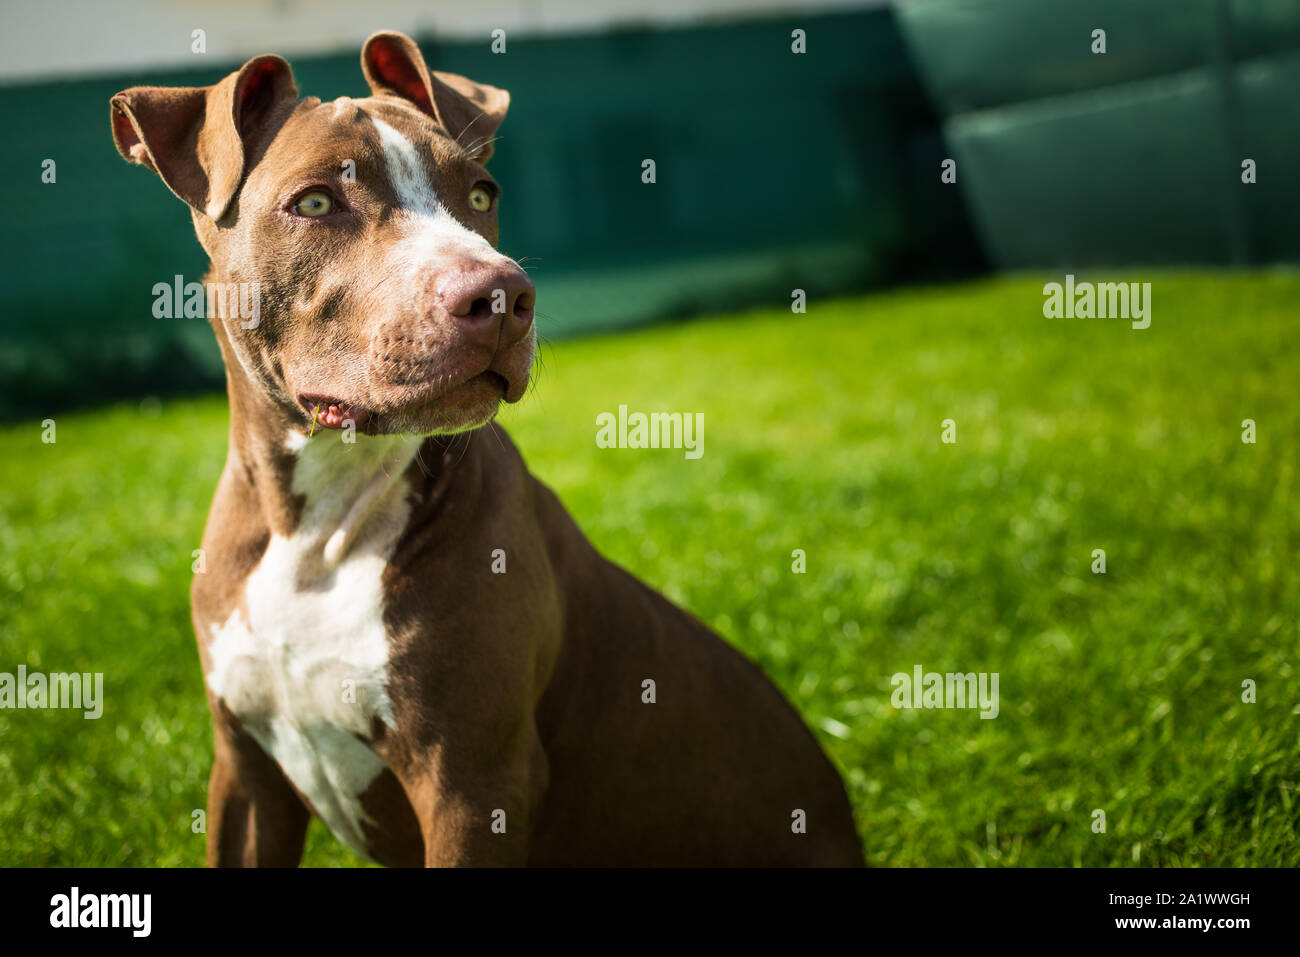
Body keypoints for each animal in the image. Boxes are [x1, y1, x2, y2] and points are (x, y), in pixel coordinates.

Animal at [111, 31, 863, 868]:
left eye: (480, 194)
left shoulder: (471, 785)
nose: (502, 295)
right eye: (314, 202)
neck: (314, 525)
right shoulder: (245, 776)